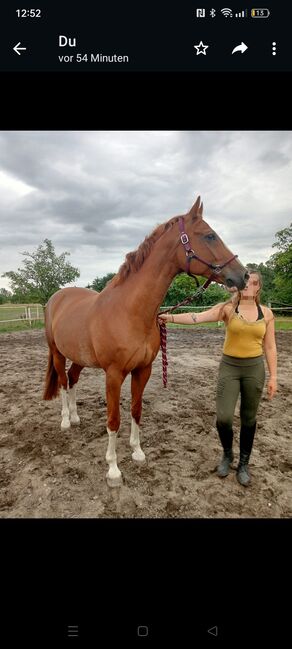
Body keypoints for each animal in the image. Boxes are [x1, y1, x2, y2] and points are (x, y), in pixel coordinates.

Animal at [44, 195, 249, 484]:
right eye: (209, 235)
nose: (243, 275)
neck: (130, 311)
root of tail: (57, 298)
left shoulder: (143, 370)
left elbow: (136, 410)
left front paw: (138, 453)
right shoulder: (114, 374)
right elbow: (113, 419)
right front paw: (113, 469)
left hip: (80, 357)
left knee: (72, 380)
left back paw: (75, 418)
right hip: (57, 352)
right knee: (63, 383)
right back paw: (64, 421)